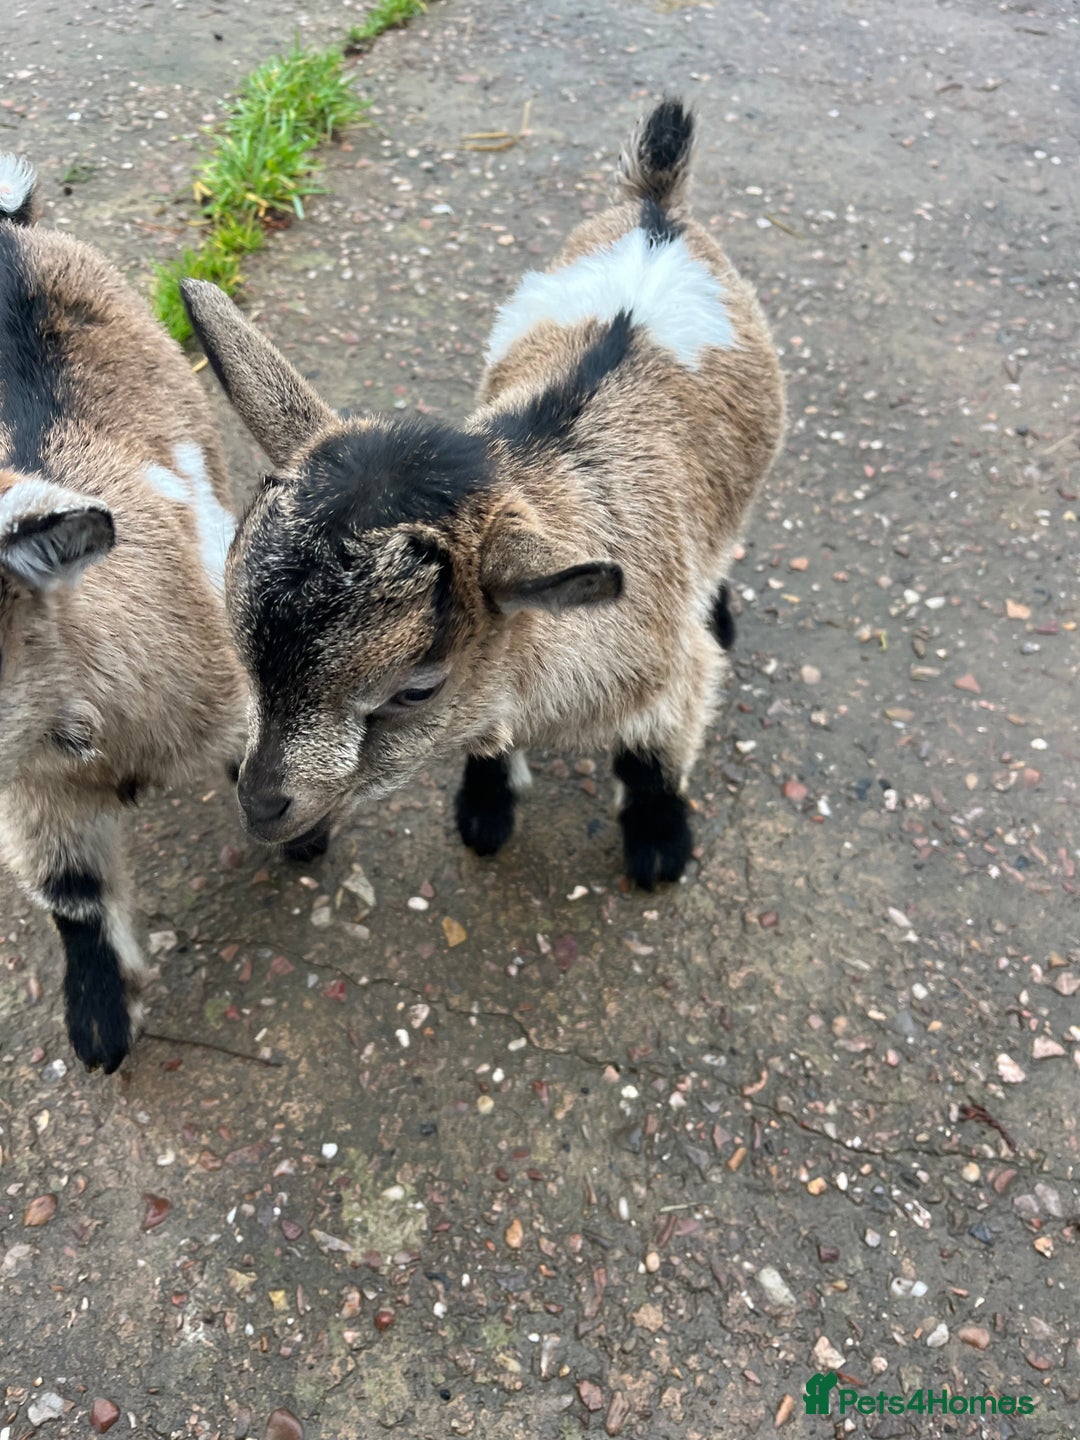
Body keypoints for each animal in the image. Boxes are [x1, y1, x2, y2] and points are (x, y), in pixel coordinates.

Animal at [181, 99, 786, 889]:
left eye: (416, 688)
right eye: (239, 648)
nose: (261, 808)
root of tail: (656, 207)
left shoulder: (667, 672)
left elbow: (655, 756)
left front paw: (659, 845)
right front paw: (486, 807)